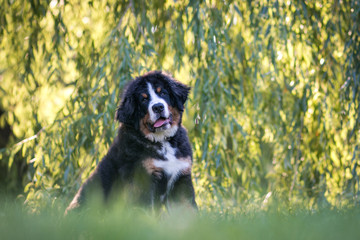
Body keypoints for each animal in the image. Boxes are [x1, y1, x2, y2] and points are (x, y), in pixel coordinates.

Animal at [66, 70, 198, 213]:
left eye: (163, 92)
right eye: (144, 99)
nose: (158, 107)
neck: (162, 142)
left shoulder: (181, 178)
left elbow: (188, 211)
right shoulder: (142, 182)